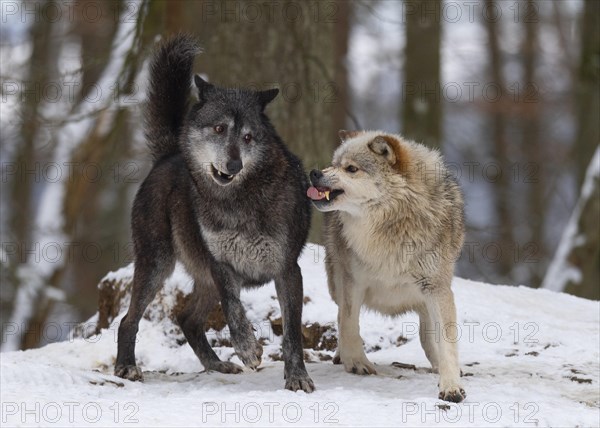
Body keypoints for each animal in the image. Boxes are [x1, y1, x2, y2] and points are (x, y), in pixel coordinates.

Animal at [308, 130, 466, 402]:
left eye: (351, 168)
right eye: (334, 163)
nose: (314, 173)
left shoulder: (436, 287)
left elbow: (446, 342)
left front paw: (451, 386)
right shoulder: (353, 282)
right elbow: (349, 324)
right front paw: (356, 362)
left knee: (428, 336)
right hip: (336, 283)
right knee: (340, 317)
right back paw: (342, 355)